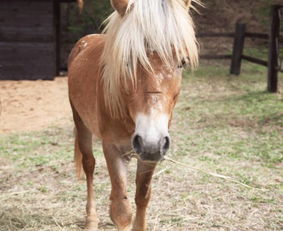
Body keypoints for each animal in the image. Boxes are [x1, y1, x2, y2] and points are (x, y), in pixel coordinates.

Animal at [67, 0, 199, 230]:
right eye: (126, 62)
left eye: (182, 62)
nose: (150, 140)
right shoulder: (112, 149)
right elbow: (121, 210)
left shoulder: (151, 153)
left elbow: (142, 197)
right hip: (81, 122)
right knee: (89, 165)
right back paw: (91, 219)